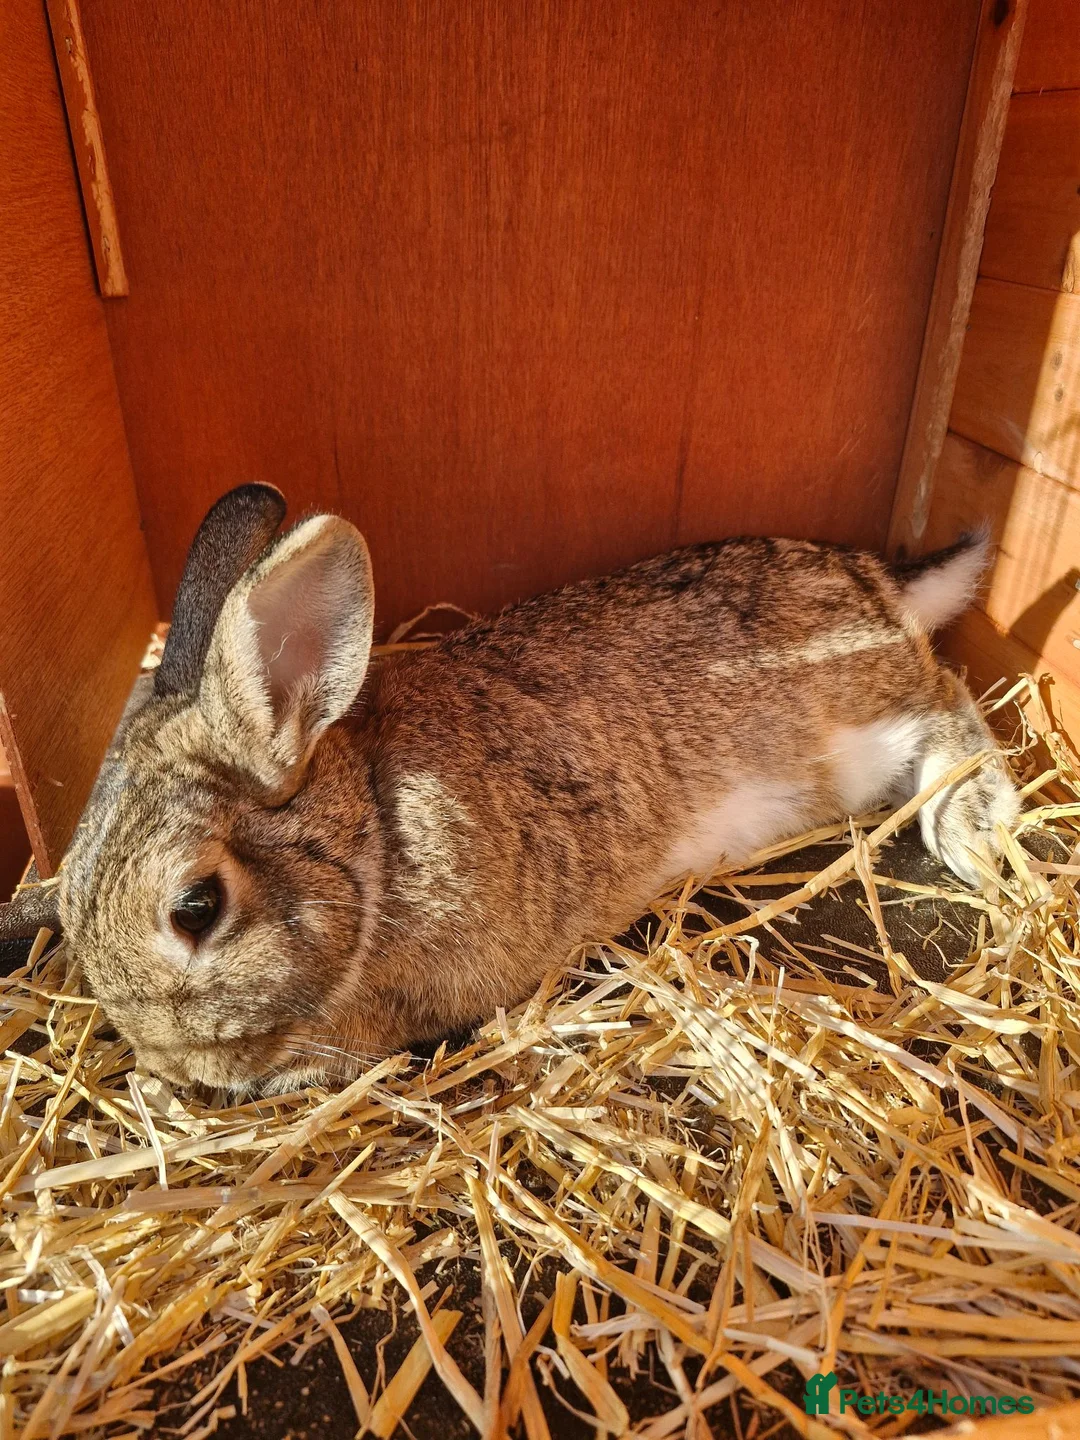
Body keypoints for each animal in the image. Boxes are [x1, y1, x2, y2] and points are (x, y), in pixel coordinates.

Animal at [1, 485, 1018, 1092]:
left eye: (197, 908)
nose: (168, 1059)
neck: (372, 835)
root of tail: (872, 578)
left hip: (860, 724)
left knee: (952, 706)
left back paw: (974, 827)